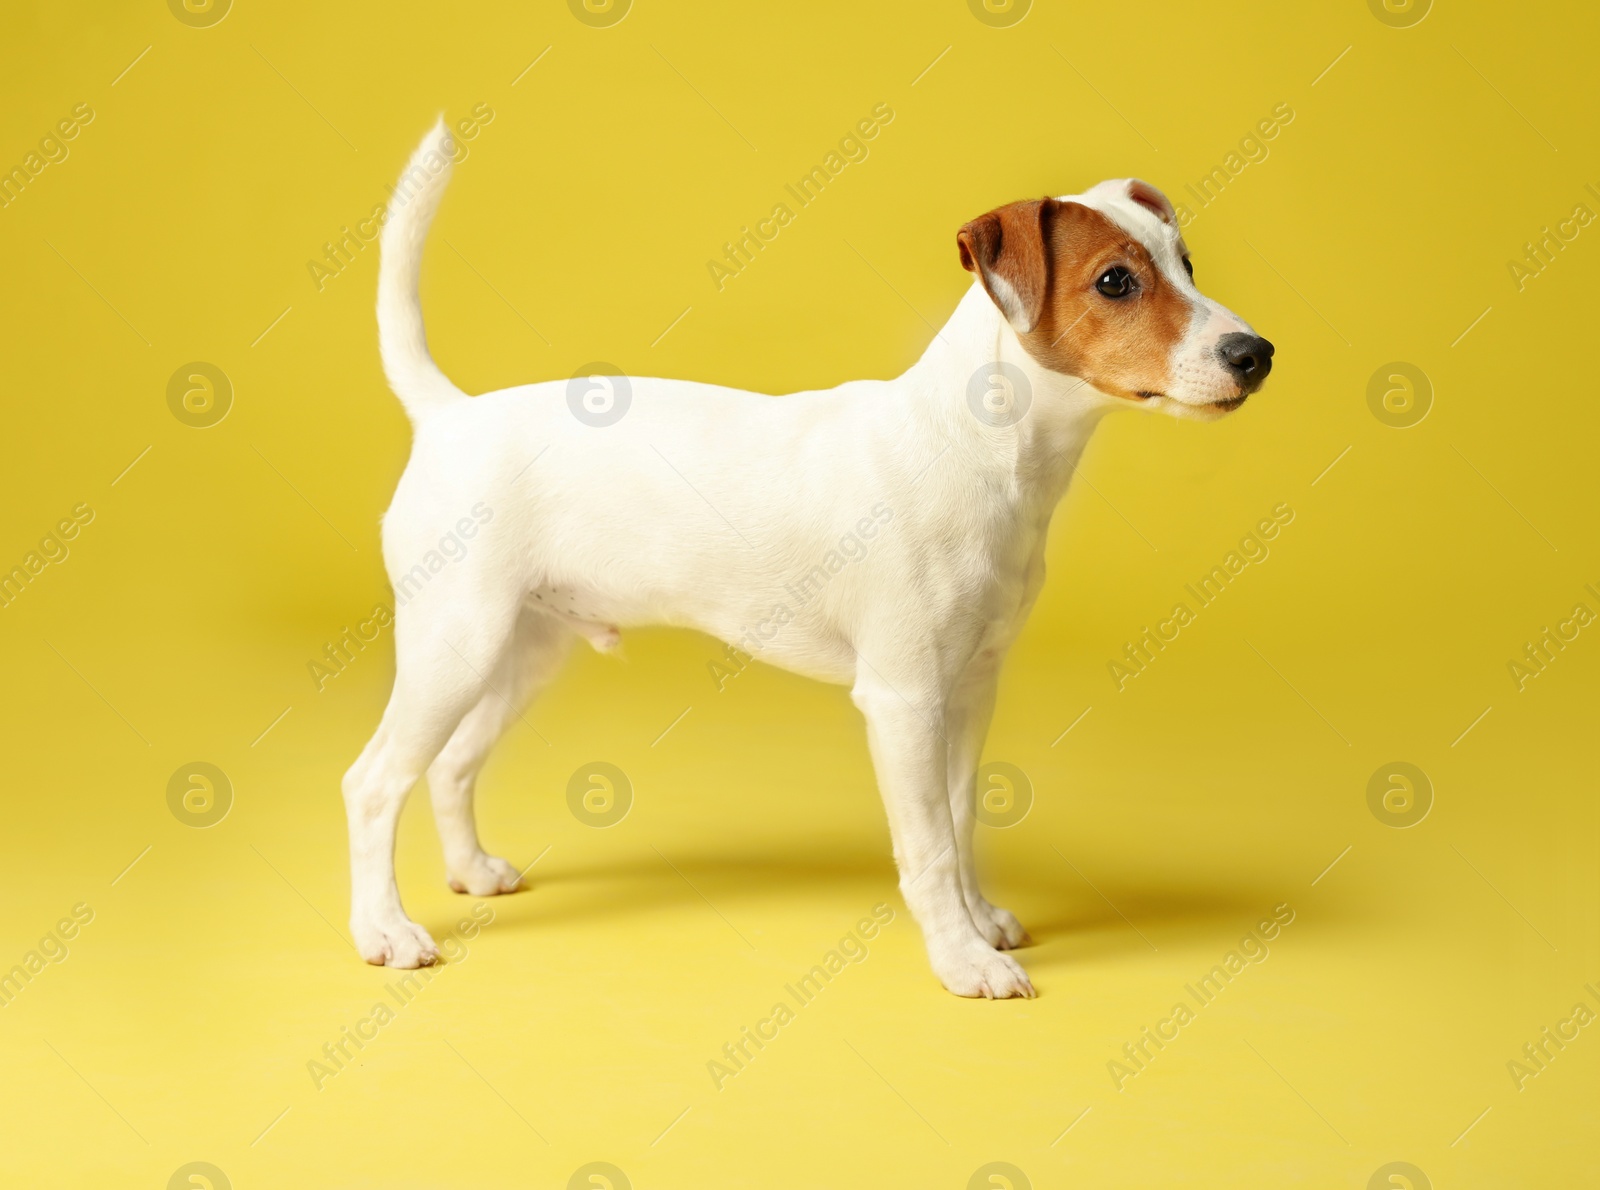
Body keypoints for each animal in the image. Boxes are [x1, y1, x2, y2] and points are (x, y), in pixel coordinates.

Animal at [340, 120, 1273, 991]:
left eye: (1187, 265)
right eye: (1116, 281)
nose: (1256, 354)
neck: (977, 447)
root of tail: (449, 414)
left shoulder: (970, 689)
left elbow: (963, 818)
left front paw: (979, 921)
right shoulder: (903, 701)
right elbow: (930, 845)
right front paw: (961, 959)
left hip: (519, 651)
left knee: (452, 764)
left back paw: (470, 872)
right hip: (454, 646)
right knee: (374, 781)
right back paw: (384, 931)